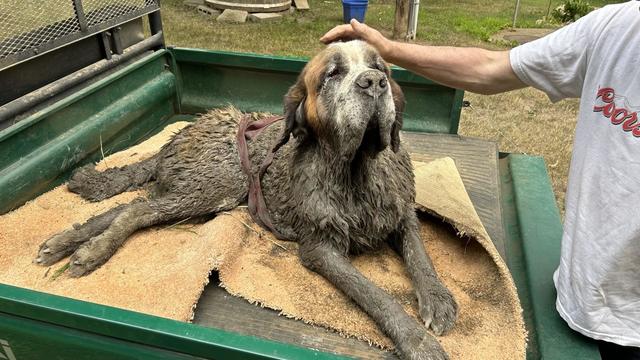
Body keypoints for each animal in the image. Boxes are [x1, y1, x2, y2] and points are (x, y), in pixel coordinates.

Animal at [36, 40, 456, 358]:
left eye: (380, 67)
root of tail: (181, 134)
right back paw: (93, 250)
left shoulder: (401, 213)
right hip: (218, 187)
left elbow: (421, 256)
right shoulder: (321, 247)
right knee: (137, 209)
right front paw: (416, 339)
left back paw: (67, 242)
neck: (355, 171)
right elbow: (374, 293)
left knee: (126, 208)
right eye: (333, 74)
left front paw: (436, 298)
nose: (373, 82)